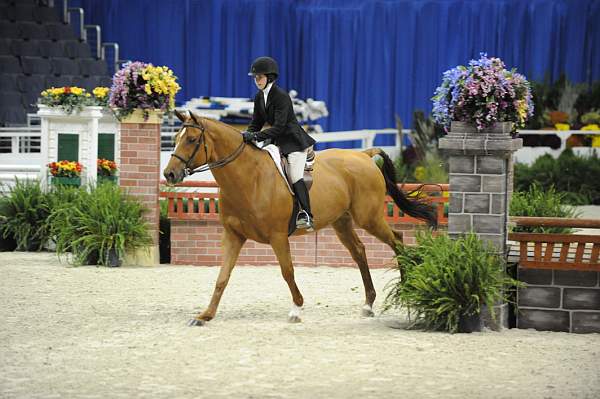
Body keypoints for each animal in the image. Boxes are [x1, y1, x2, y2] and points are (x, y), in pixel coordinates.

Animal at [164, 111, 436, 326]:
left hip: (368, 218)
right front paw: (205, 315)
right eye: (175, 140)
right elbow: (222, 277)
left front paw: (296, 308)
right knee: (359, 251)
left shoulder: (277, 236)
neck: (248, 178)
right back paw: (368, 304)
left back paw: (407, 288)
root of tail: (364, 155)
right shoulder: (233, 236)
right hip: (342, 221)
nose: (169, 174)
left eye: (191, 140)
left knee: (396, 240)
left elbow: (287, 271)